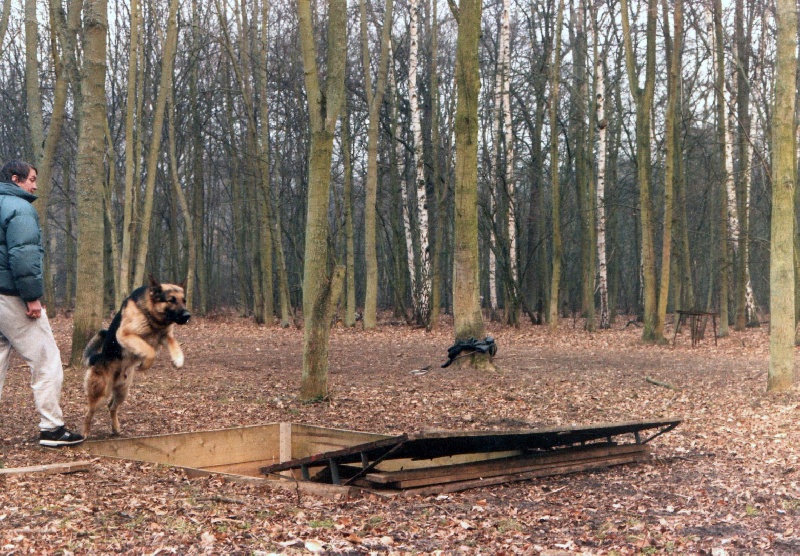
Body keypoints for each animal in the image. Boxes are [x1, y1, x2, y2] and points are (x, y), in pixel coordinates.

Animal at [82, 275, 191, 438]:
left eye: (184, 300)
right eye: (171, 300)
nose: (187, 315)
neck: (152, 316)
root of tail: (97, 358)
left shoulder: (165, 336)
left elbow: (174, 344)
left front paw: (178, 359)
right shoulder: (125, 335)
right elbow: (150, 351)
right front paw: (145, 364)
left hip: (122, 392)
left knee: (111, 406)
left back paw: (115, 428)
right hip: (100, 394)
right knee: (88, 413)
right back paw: (84, 434)